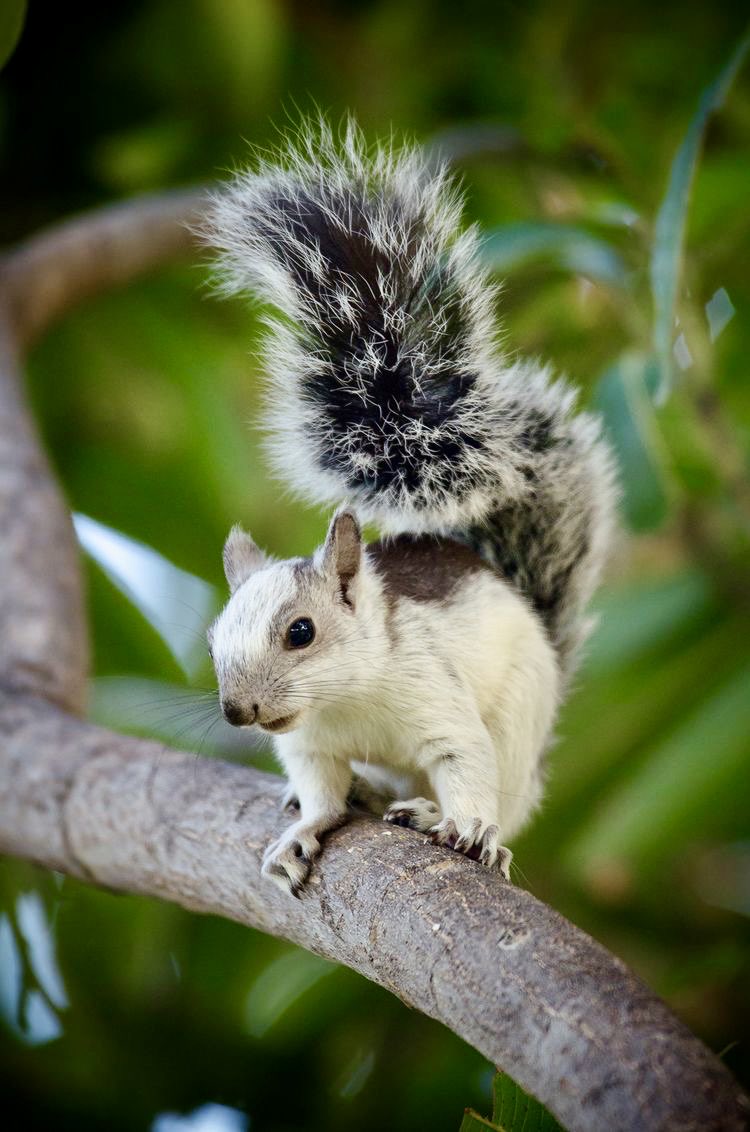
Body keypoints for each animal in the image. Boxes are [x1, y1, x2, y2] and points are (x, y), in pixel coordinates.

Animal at [203, 119, 617, 897]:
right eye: (213, 641)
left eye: (301, 632)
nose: (238, 711)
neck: (344, 700)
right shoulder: (309, 747)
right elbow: (321, 790)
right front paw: (305, 829)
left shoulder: (439, 703)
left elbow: (467, 766)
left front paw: (469, 830)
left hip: (519, 723)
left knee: (500, 791)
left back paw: (432, 813)